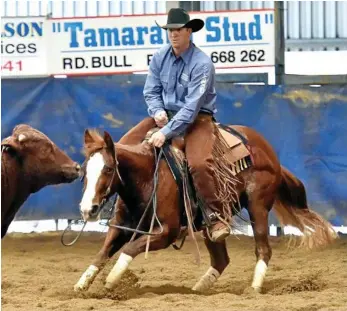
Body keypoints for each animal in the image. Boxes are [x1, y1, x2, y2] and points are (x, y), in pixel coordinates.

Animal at [73, 117, 338, 294]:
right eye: (83, 170)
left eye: (108, 169)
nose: (88, 209)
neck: (147, 176)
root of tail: (267, 151)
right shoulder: (120, 226)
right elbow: (102, 253)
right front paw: (81, 284)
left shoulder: (167, 232)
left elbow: (130, 249)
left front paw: (112, 280)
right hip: (212, 220)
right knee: (221, 257)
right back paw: (199, 287)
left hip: (258, 206)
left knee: (263, 249)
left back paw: (253, 288)